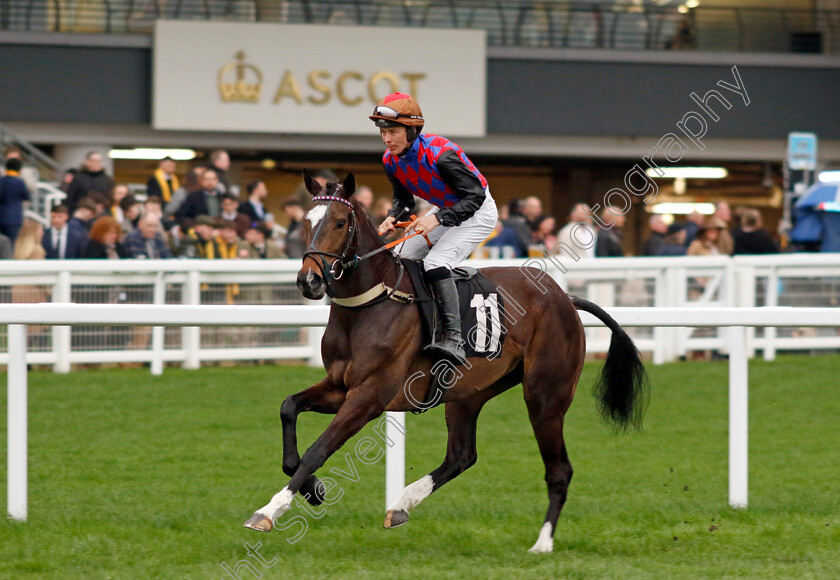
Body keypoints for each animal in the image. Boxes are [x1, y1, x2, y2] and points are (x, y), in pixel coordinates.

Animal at [243, 172, 648, 552]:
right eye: (306, 222)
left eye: (340, 222)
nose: (309, 281)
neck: (371, 303)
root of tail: (565, 298)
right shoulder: (339, 387)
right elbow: (288, 409)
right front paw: (313, 490)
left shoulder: (369, 396)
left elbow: (318, 449)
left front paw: (268, 511)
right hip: (468, 394)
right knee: (461, 456)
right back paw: (401, 504)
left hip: (545, 397)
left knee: (558, 469)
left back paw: (543, 543)